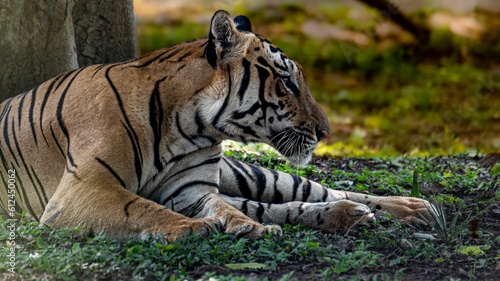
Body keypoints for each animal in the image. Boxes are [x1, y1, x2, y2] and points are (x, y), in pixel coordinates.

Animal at [0, 9, 430, 240]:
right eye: (287, 82)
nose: (326, 132)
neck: (188, 128)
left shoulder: (192, 191)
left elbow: (225, 208)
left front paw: (240, 228)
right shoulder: (80, 190)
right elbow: (139, 207)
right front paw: (194, 229)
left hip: (249, 173)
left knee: (313, 189)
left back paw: (408, 207)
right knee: (279, 203)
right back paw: (351, 215)